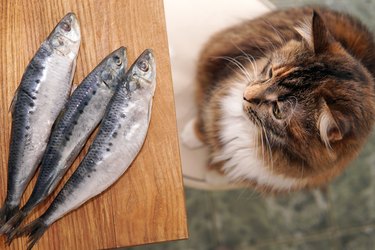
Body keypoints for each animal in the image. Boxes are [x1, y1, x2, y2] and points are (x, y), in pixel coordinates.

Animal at [181, 6, 375, 192]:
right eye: (270, 73)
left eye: (277, 111)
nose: (245, 95)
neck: (252, 131)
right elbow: (205, 121)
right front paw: (189, 137)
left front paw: (216, 173)